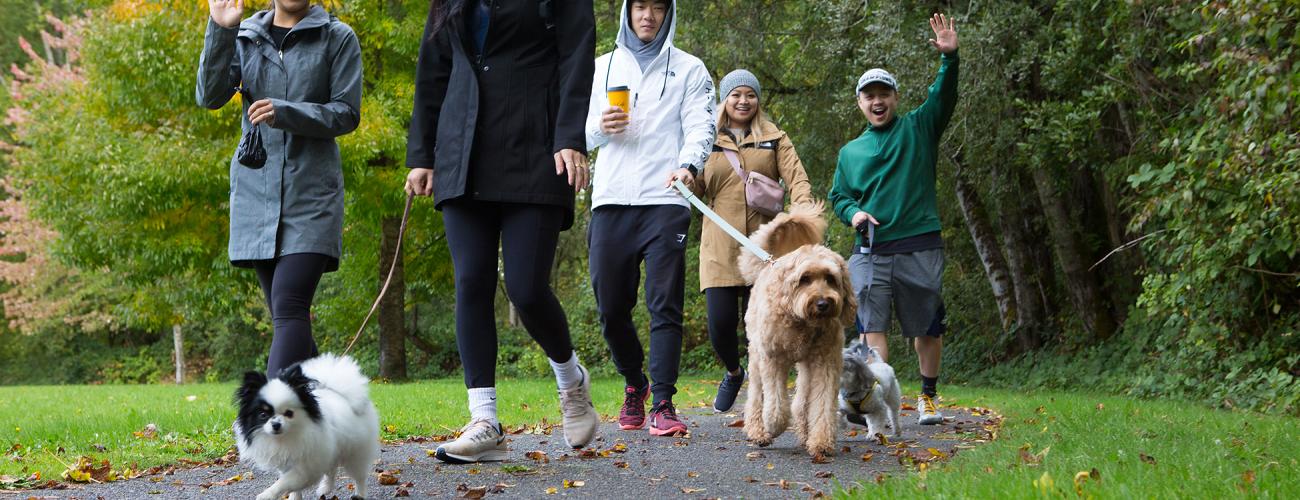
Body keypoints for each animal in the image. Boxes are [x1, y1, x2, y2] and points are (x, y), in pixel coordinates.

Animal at [235, 353, 379, 498]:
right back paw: (326, 488)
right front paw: (294, 498)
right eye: (263, 414)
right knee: (332, 469)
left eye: (289, 413)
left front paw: (267, 494)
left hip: (355, 454)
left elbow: (284, 482)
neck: (286, 438)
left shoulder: (305, 468)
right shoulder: (290, 465)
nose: (276, 424)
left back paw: (359, 495)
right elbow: (293, 487)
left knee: (359, 477)